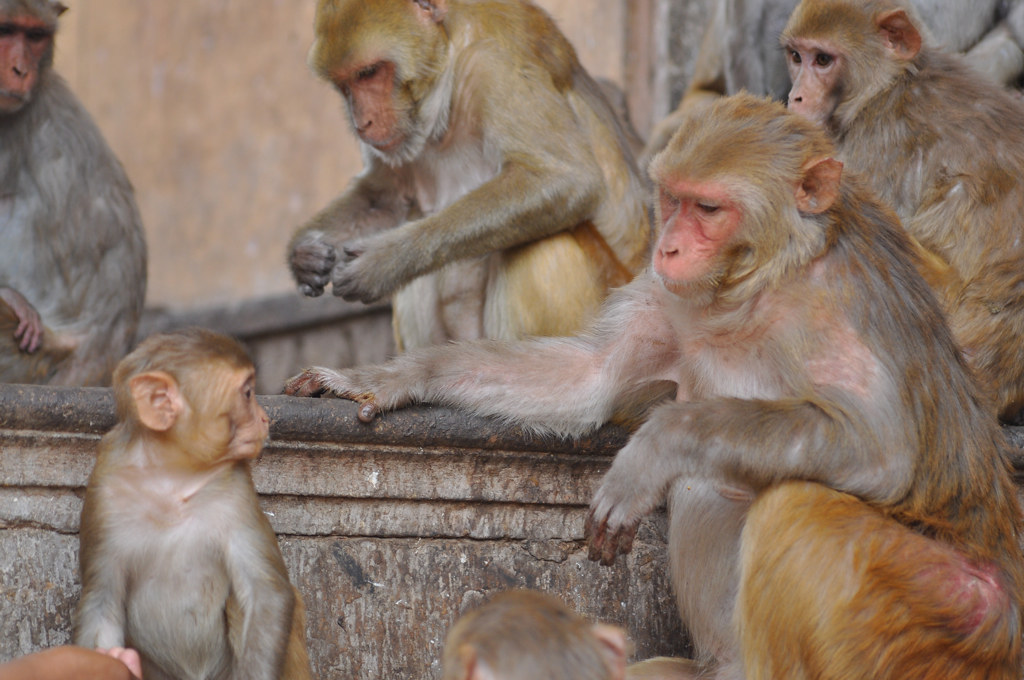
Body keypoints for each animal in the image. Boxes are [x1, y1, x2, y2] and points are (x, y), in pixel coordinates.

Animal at [75, 328, 311, 680]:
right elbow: (102, 603)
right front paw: (115, 658)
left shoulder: (236, 487)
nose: (265, 418)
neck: (172, 476)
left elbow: (266, 593)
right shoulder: (105, 488)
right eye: (247, 393)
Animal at [288, 0, 650, 351]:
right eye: (344, 84)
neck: (451, 59)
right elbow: (385, 196)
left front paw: (385, 261)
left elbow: (565, 178)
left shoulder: (495, 63)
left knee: (542, 242)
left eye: (369, 72)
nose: (362, 123)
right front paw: (304, 256)